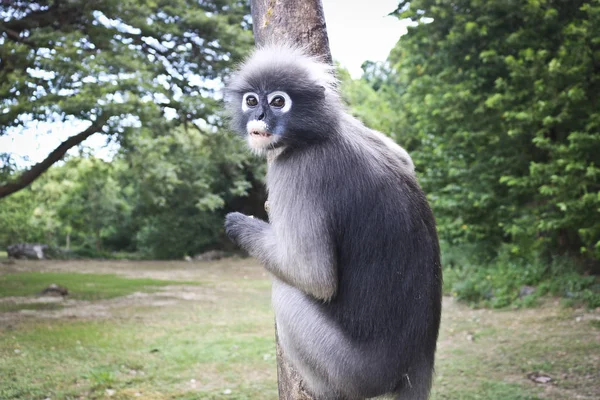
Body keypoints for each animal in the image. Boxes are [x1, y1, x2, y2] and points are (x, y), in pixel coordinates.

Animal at [223, 44, 442, 400]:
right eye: (252, 101)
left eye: (278, 102)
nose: (259, 118)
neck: (317, 136)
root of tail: (417, 361)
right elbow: (405, 157)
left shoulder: (294, 170)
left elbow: (313, 275)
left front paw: (237, 223)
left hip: (350, 370)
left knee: (284, 291)